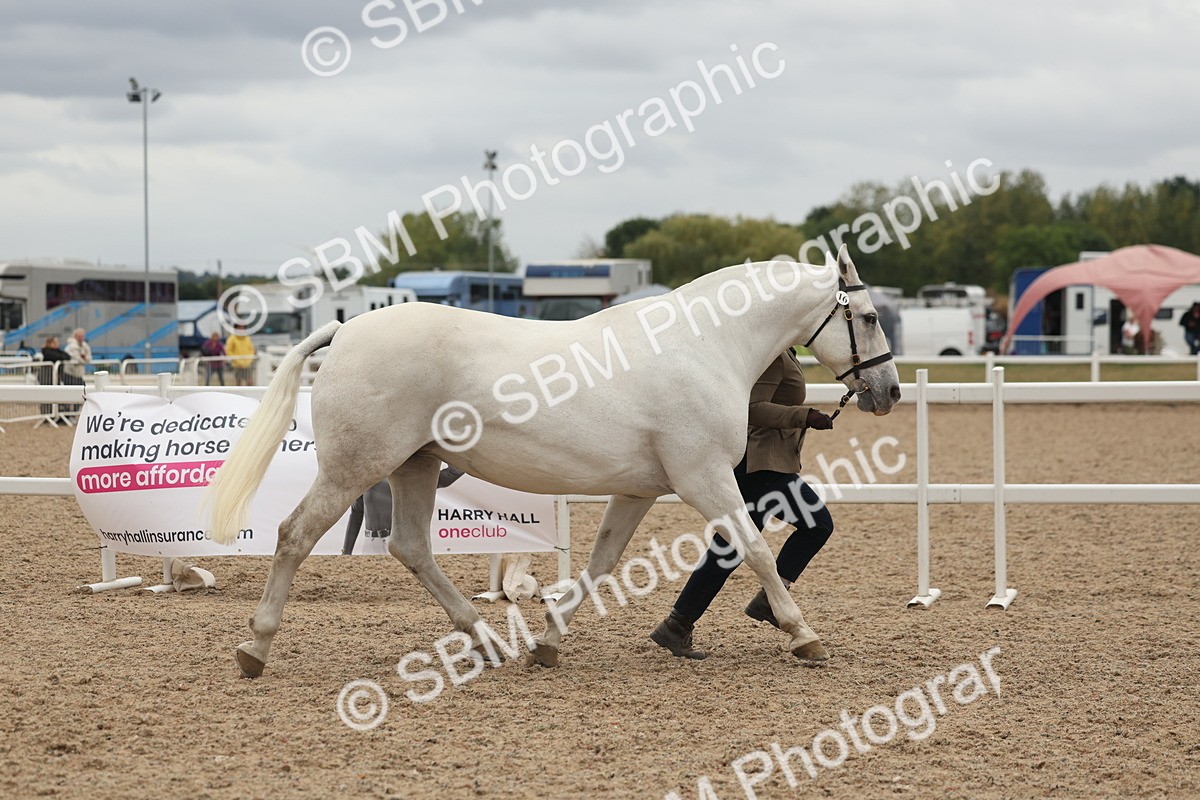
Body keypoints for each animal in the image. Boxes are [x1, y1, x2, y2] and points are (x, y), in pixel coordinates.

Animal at [205, 245, 901, 678]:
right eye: (869, 317)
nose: (888, 391)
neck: (703, 346)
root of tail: (346, 331)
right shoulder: (702, 478)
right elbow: (755, 549)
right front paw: (803, 635)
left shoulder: (641, 489)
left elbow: (600, 564)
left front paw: (546, 641)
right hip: (356, 467)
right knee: (295, 535)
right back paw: (254, 648)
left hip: (414, 465)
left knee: (411, 547)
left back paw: (488, 642)